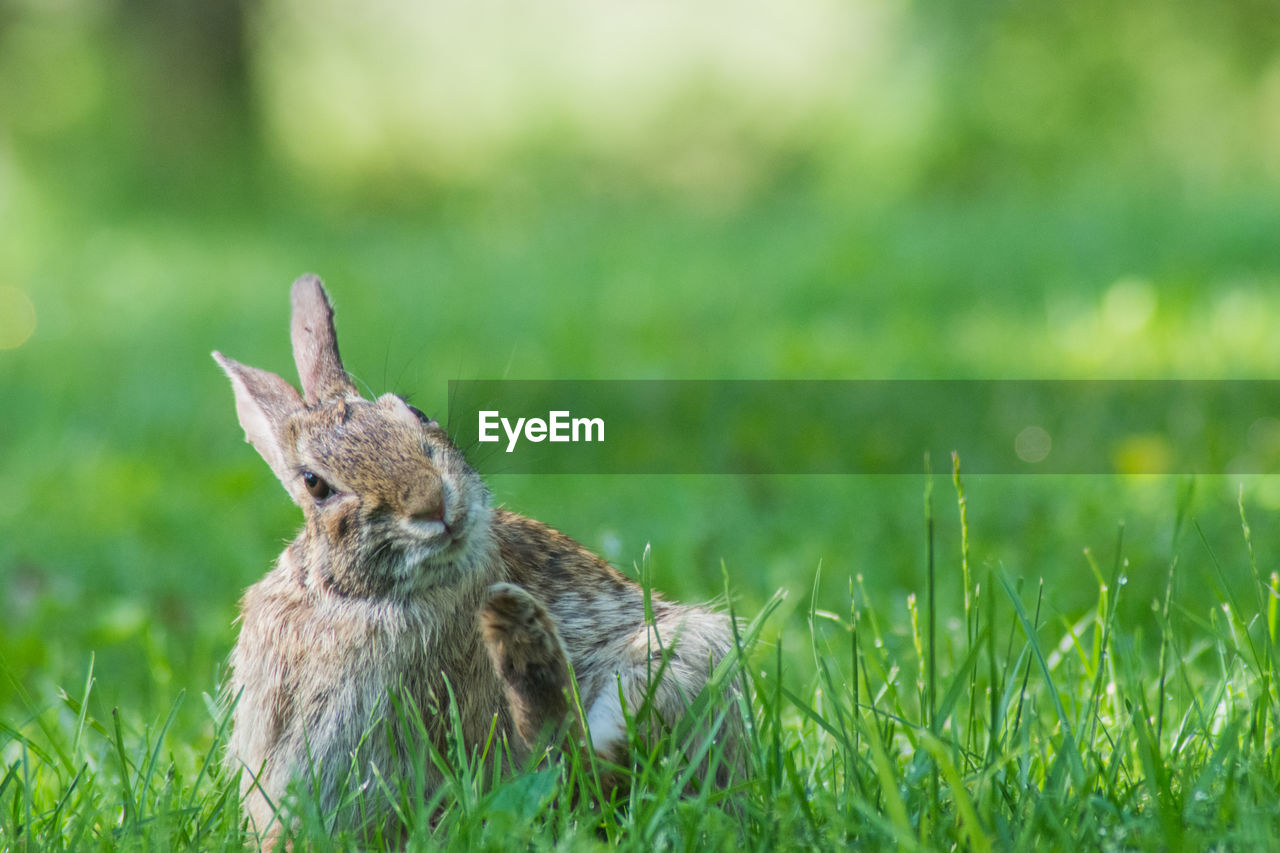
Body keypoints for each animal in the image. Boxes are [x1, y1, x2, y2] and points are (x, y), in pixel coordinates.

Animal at [215, 275, 742, 840]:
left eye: (416, 412)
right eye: (316, 484)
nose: (432, 503)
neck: (363, 596)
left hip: (683, 655)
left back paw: (522, 639)